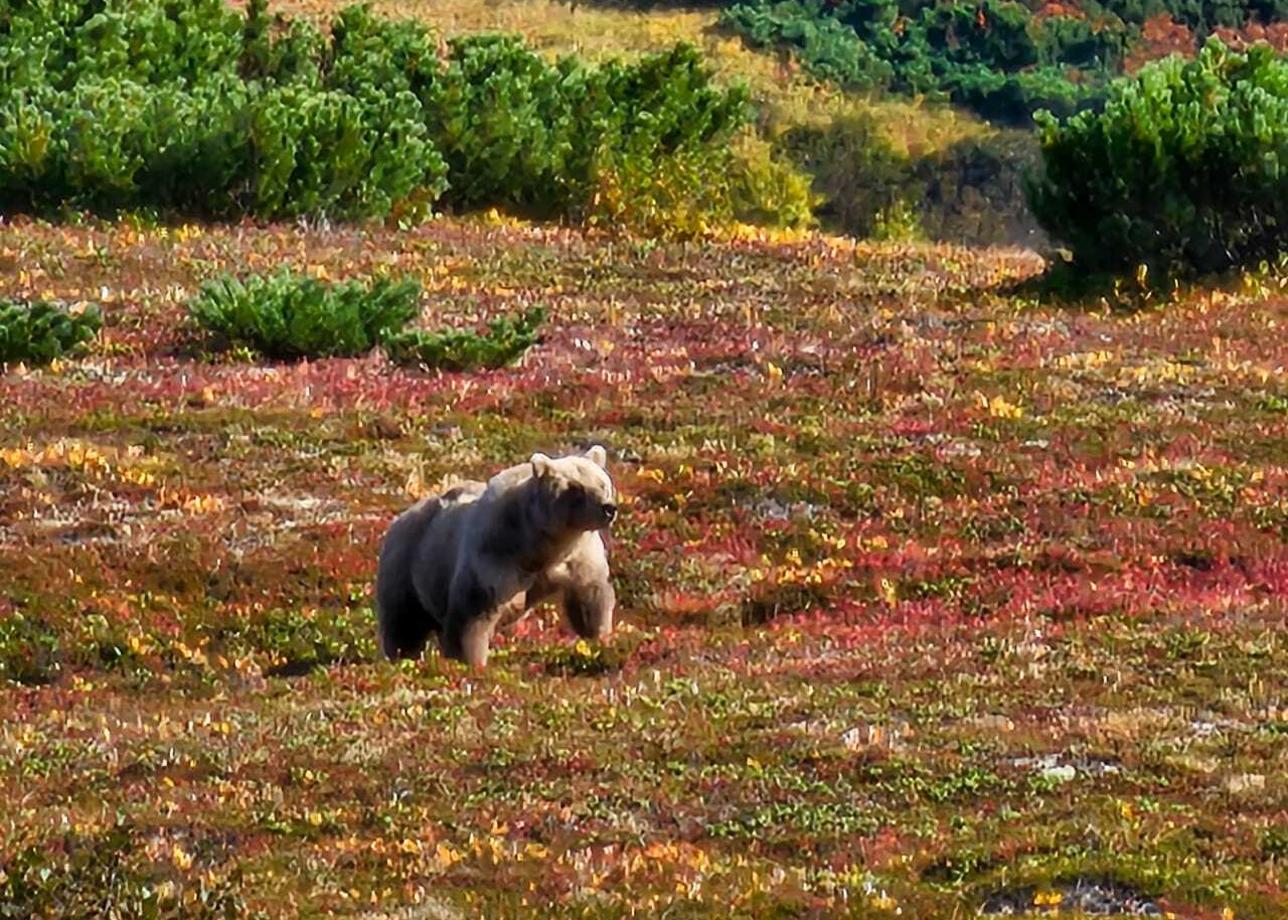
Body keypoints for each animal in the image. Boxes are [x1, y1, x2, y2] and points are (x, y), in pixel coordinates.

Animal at [373, 443, 618, 664]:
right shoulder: (495, 556)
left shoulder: (579, 557)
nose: (608, 508)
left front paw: (599, 637)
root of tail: (401, 517)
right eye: (576, 488)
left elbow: (591, 595)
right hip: (409, 567)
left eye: (602, 483)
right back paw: (401, 655)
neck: (542, 545)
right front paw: (470, 661)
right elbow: (473, 615)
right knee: (405, 623)